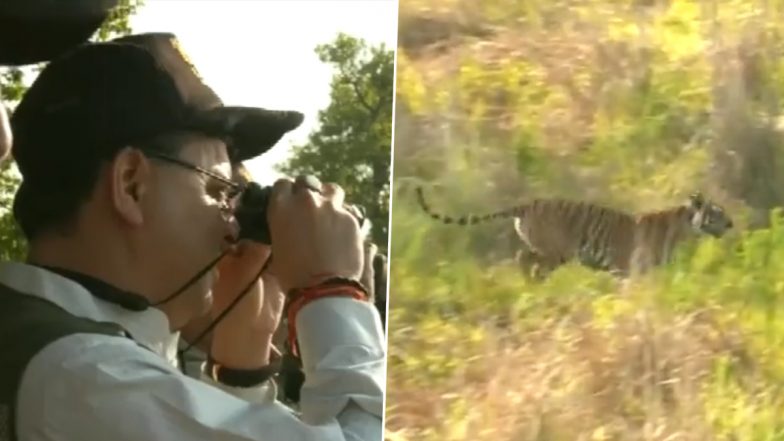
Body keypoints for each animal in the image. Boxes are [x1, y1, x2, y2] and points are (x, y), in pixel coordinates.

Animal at [416, 186, 736, 278]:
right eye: (717, 213)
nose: (732, 224)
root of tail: (528, 204)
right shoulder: (634, 269)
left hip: (546, 248)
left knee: (522, 257)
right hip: (557, 250)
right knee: (525, 259)